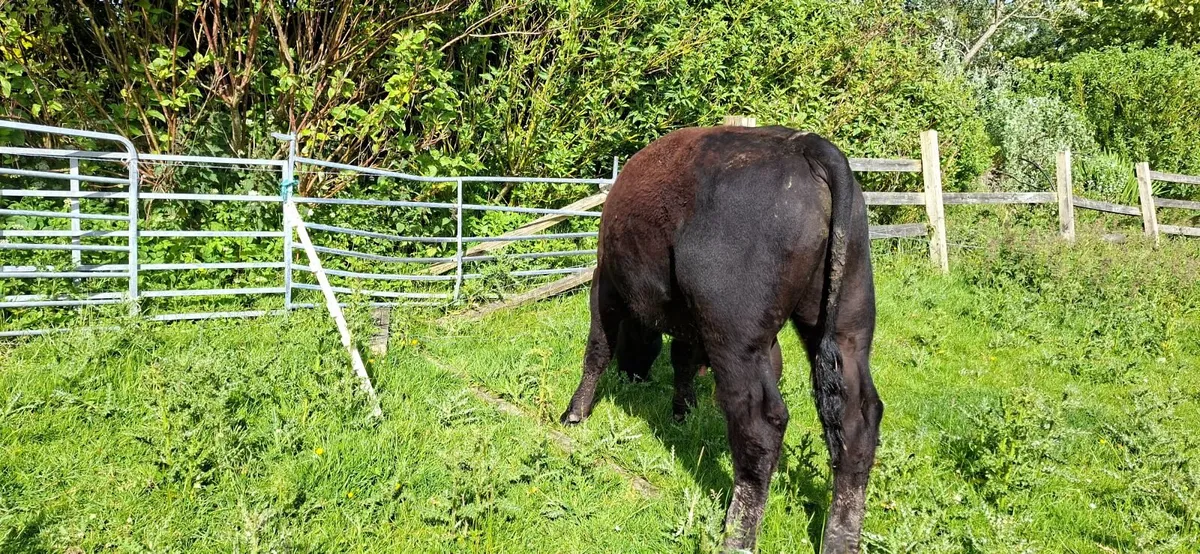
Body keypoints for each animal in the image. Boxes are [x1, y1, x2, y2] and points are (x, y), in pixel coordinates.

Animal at [559, 125, 882, 552]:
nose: (634, 374)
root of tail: (807, 146)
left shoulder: (605, 284)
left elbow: (597, 349)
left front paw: (574, 413)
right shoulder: (699, 325)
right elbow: (683, 360)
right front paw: (682, 412)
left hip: (737, 343)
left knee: (761, 425)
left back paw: (736, 534)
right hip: (846, 329)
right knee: (857, 420)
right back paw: (839, 539)